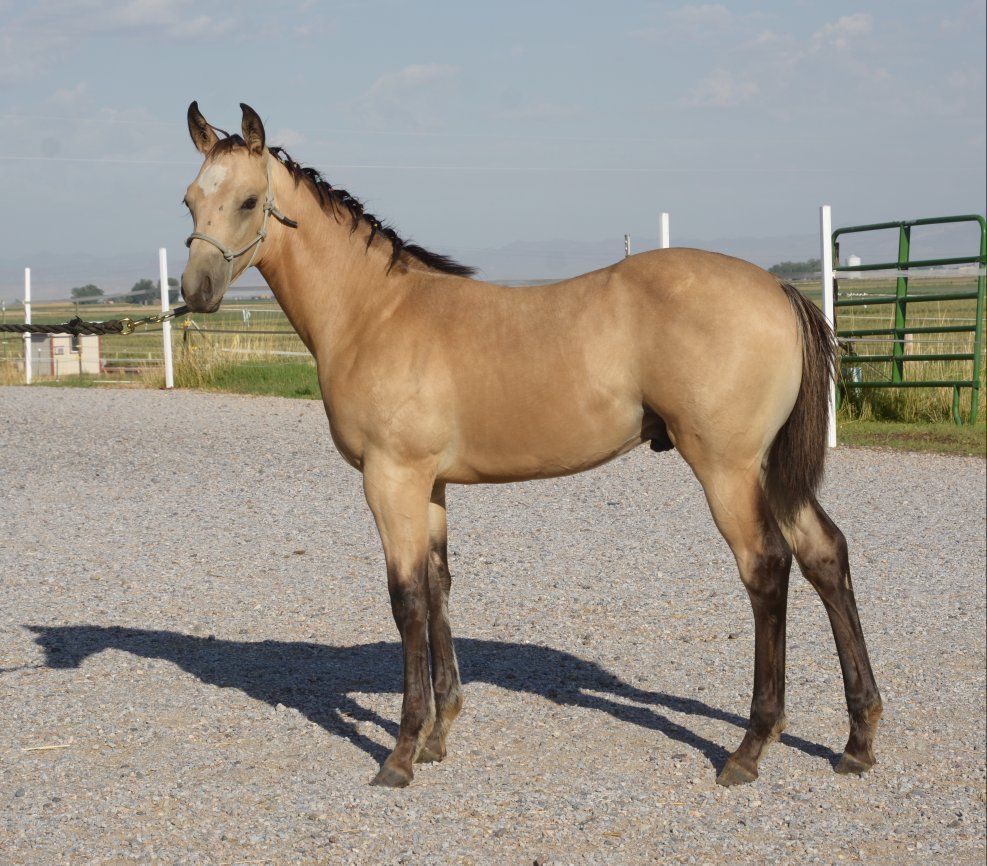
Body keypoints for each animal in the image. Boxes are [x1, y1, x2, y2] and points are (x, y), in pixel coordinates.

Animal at [179, 102, 883, 789]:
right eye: (189, 200)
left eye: (248, 200)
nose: (195, 291)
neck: (374, 312)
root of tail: (778, 290)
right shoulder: (430, 484)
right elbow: (438, 587)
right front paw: (438, 736)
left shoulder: (391, 478)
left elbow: (407, 600)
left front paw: (401, 754)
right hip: (768, 470)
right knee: (824, 554)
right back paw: (858, 739)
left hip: (728, 468)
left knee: (766, 569)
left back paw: (750, 748)